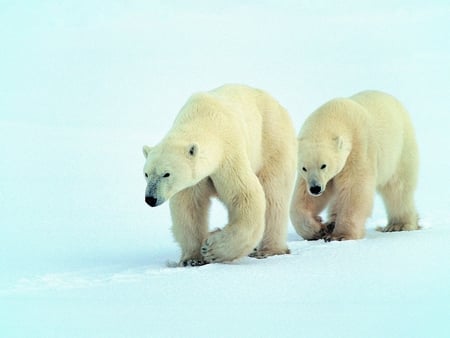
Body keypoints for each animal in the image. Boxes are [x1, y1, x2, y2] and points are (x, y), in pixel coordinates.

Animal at [142, 83, 298, 266]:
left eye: (166, 174)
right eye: (146, 174)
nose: (150, 199)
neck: (204, 118)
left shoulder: (229, 155)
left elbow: (244, 196)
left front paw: (212, 249)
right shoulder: (197, 178)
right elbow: (189, 207)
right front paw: (192, 259)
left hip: (272, 143)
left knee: (274, 195)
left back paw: (269, 250)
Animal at [290, 90, 420, 240]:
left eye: (324, 165)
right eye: (304, 168)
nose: (315, 188)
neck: (336, 114)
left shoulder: (359, 147)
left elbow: (354, 188)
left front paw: (341, 235)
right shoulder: (310, 177)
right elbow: (303, 197)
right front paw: (318, 229)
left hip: (400, 151)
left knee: (398, 189)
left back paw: (398, 225)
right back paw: (331, 223)